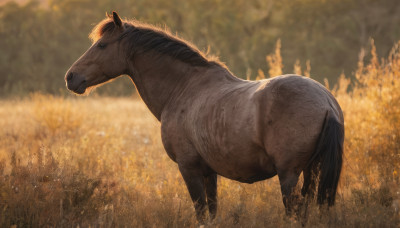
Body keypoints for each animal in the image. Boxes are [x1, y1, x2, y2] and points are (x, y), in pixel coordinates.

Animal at [65, 11, 344, 222]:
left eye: (102, 45)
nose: (71, 77)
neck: (184, 87)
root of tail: (326, 102)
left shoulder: (189, 169)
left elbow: (201, 213)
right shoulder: (210, 172)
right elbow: (212, 213)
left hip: (289, 175)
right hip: (311, 172)